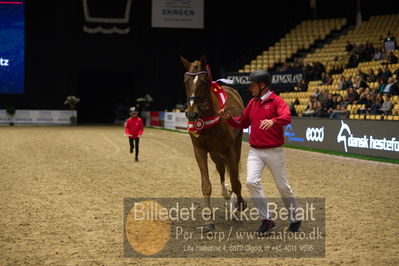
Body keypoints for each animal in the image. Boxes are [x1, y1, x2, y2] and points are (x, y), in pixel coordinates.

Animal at [180, 54, 247, 231]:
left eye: (204, 81)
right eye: (185, 81)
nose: (192, 114)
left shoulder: (229, 150)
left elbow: (236, 182)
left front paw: (240, 206)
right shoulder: (200, 151)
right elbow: (206, 185)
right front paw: (208, 223)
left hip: (234, 147)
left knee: (233, 174)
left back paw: (235, 206)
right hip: (216, 153)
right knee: (222, 171)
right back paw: (227, 196)